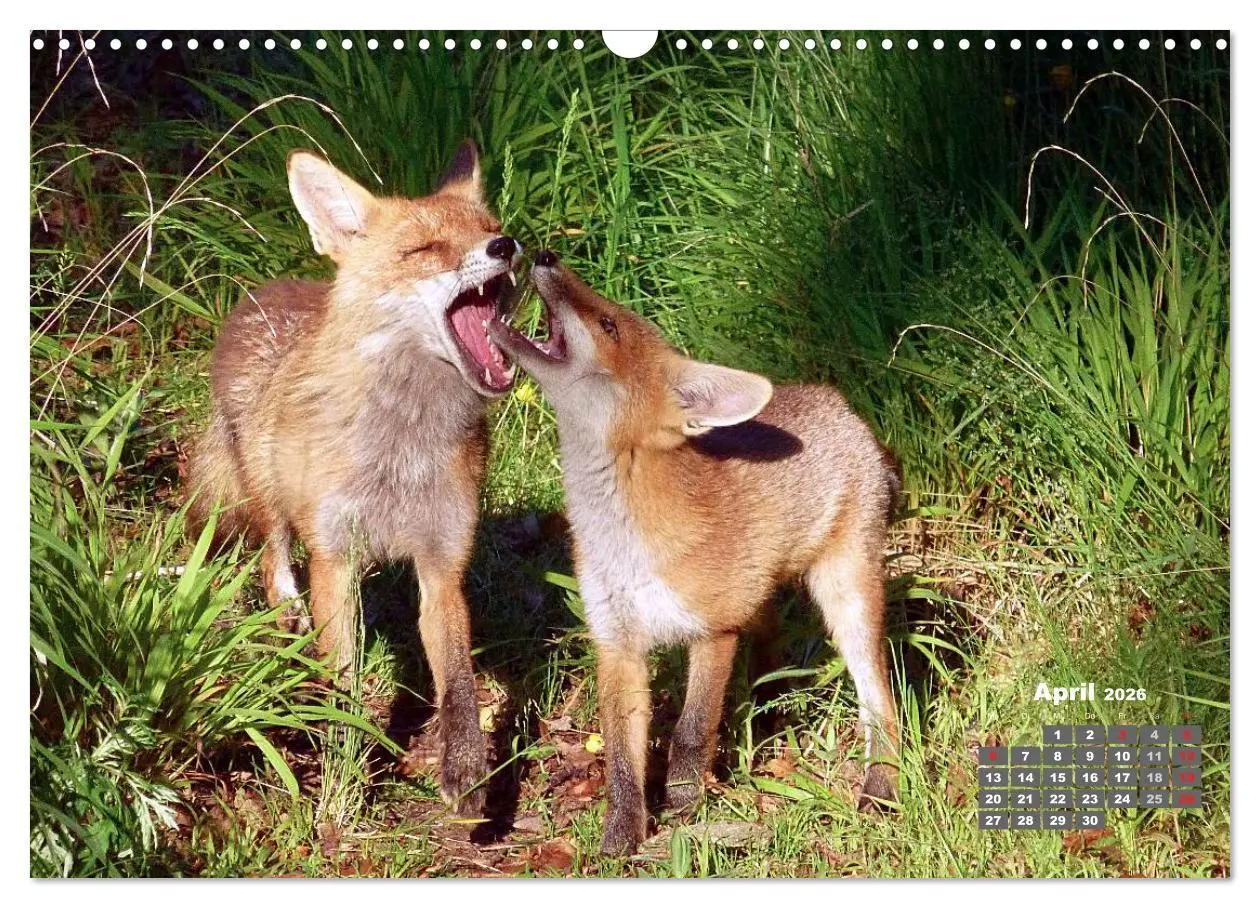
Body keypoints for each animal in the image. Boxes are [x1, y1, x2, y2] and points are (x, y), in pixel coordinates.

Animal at [186, 141, 522, 814]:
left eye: (489, 229)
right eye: (424, 249)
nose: (508, 247)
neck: (400, 450)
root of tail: (268, 290)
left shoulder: (442, 559)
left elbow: (458, 681)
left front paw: (467, 770)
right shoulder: (334, 554)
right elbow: (343, 680)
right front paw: (342, 768)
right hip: (267, 495)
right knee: (272, 561)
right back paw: (288, 617)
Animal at [489, 251, 902, 854]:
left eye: (608, 325)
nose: (544, 256)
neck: (624, 544)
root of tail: (838, 402)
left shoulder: (715, 630)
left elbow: (689, 732)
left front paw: (684, 807)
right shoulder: (617, 642)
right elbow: (621, 759)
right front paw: (622, 838)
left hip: (846, 599)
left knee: (881, 701)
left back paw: (882, 786)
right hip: (764, 602)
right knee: (771, 655)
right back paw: (768, 722)